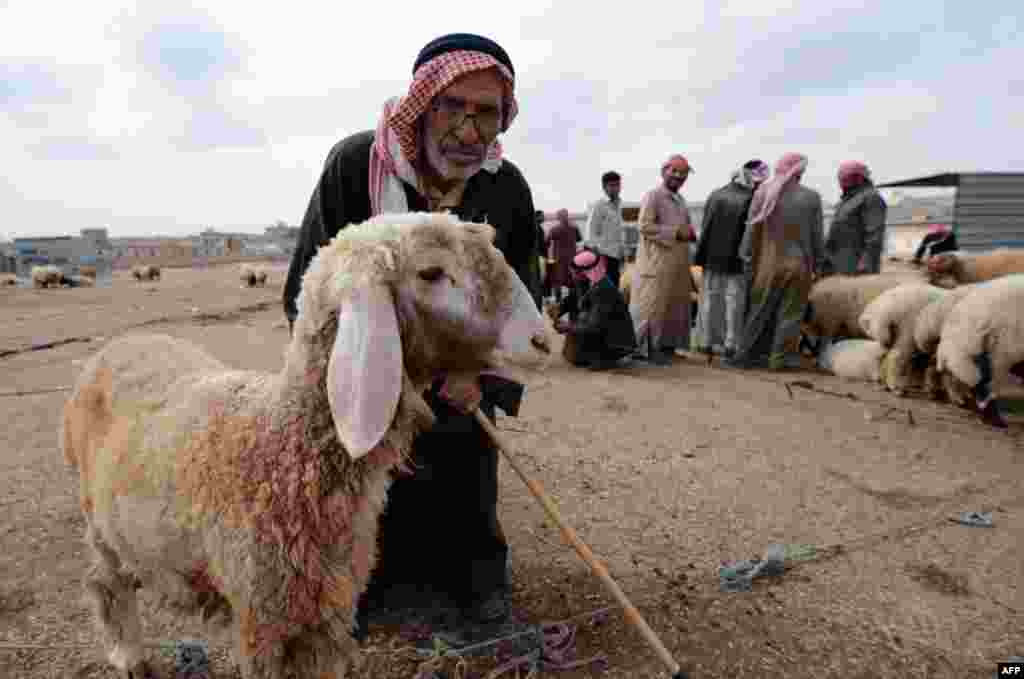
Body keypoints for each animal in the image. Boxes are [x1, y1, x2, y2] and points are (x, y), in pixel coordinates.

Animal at [60, 209, 557, 675]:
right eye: (432, 272)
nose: (544, 340)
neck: (282, 455)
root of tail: (118, 344)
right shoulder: (260, 619)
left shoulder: (325, 614)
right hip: (98, 522)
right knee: (106, 584)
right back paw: (129, 654)